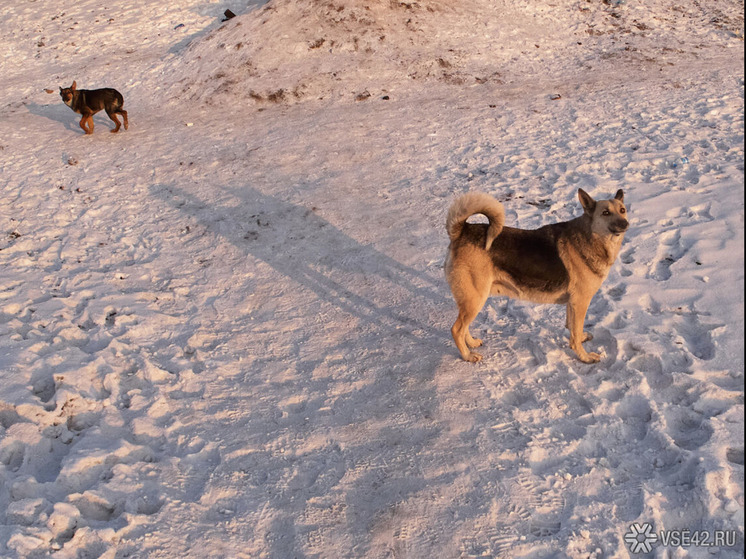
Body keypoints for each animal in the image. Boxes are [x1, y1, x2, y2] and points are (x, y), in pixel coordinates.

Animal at [442, 189, 628, 364]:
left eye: (622, 210)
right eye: (605, 213)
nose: (625, 223)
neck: (590, 236)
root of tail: (462, 231)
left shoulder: (573, 303)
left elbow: (572, 327)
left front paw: (581, 338)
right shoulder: (580, 302)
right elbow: (575, 333)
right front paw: (585, 357)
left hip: (472, 300)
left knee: (464, 327)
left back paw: (472, 344)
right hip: (475, 299)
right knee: (456, 329)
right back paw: (467, 355)